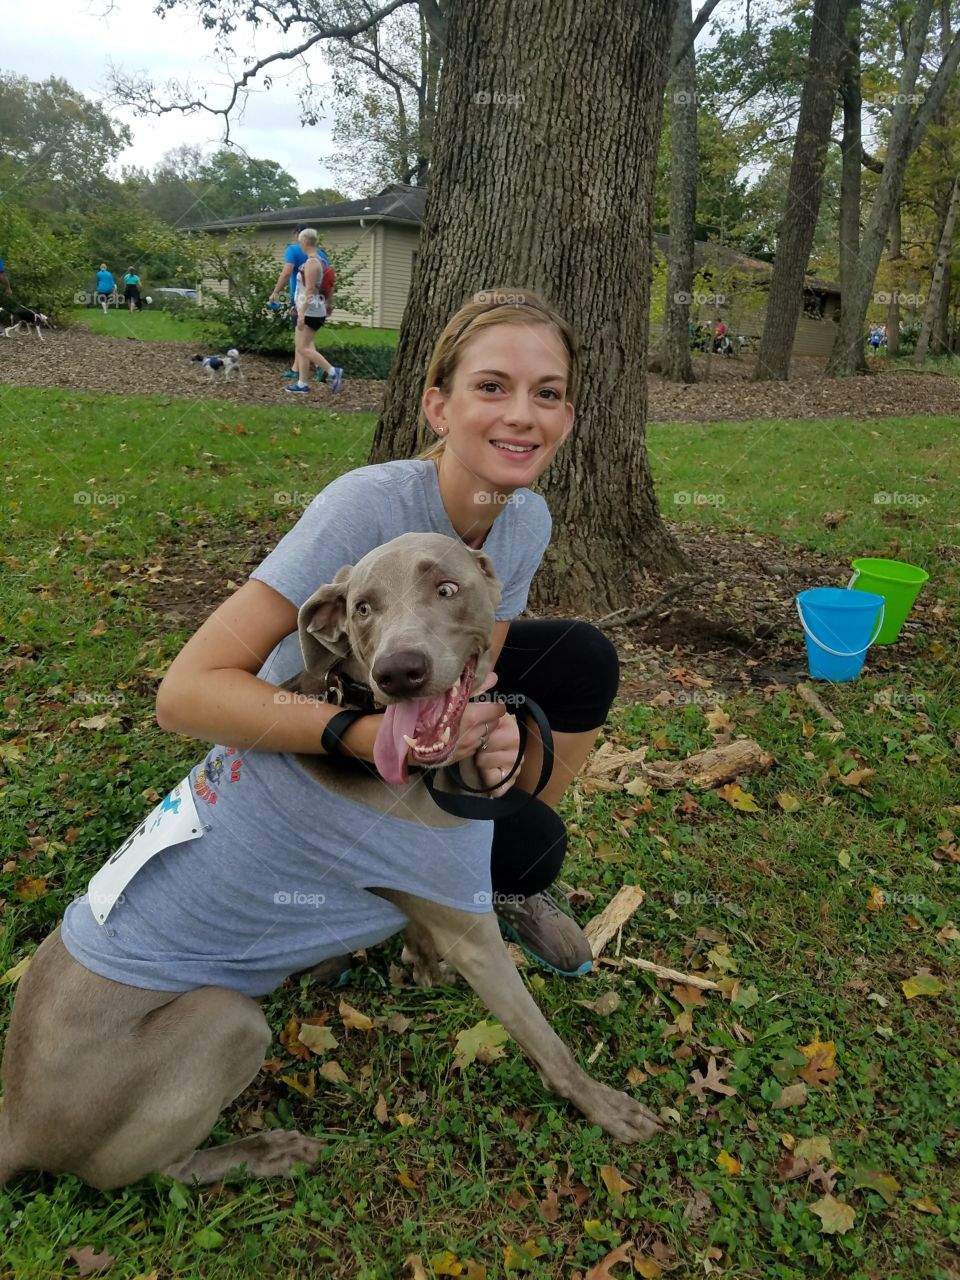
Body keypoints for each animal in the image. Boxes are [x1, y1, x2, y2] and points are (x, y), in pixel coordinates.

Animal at [0, 529, 660, 1187]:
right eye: (363, 608)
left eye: (447, 587)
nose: (399, 671)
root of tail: (19, 1124)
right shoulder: (471, 927)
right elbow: (541, 1034)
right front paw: (604, 1105)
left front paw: (421, 967)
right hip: (225, 1018)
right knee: (157, 1172)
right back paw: (266, 1152)